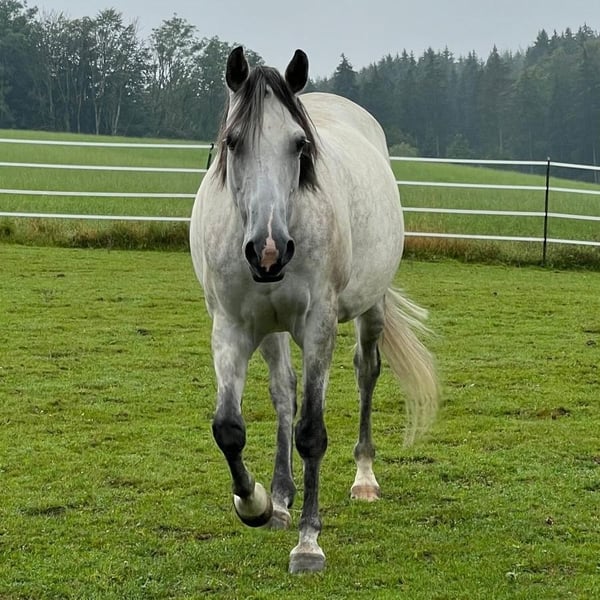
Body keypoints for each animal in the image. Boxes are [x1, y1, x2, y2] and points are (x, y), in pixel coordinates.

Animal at [189, 46, 439, 574]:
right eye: (233, 142)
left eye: (299, 144)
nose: (268, 251)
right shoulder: (231, 327)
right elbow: (229, 428)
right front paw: (257, 503)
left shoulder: (319, 326)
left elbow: (311, 433)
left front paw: (308, 543)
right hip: (271, 328)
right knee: (283, 393)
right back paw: (282, 497)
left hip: (370, 309)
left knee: (366, 372)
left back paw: (364, 478)